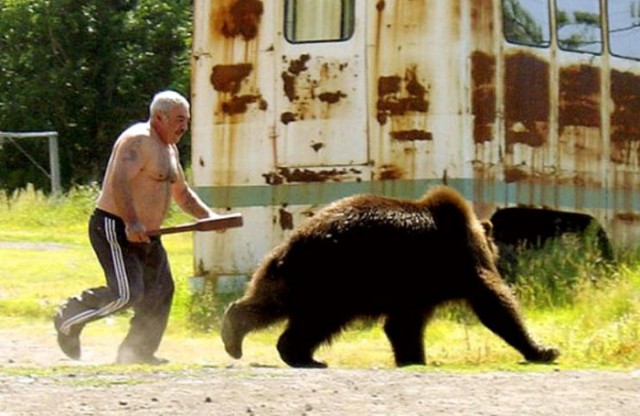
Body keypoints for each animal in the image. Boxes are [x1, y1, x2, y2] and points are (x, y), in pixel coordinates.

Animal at [221, 185, 560, 368]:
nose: (499, 252)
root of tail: (295, 240)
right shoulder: (458, 261)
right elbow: (493, 301)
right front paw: (544, 349)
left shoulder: (416, 288)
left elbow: (403, 325)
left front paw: (413, 357)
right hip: (336, 277)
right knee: (319, 320)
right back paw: (300, 354)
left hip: (294, 275)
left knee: (271, 302)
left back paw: (239, 336)